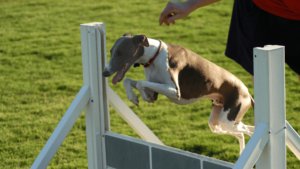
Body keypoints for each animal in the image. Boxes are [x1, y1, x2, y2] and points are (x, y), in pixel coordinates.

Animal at [102, 33, 254, 154]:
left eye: (120, 52)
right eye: (111, 50)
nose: (104, 72)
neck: (154, 55)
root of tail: (248, 94)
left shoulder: (174, 91)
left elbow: (139, 83)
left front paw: (143, 97)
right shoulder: (155, 88)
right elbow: (128, 80)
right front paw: (133, 97)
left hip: (228, 119)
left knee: (248, 130)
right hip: (217, 124)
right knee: (241, 133)